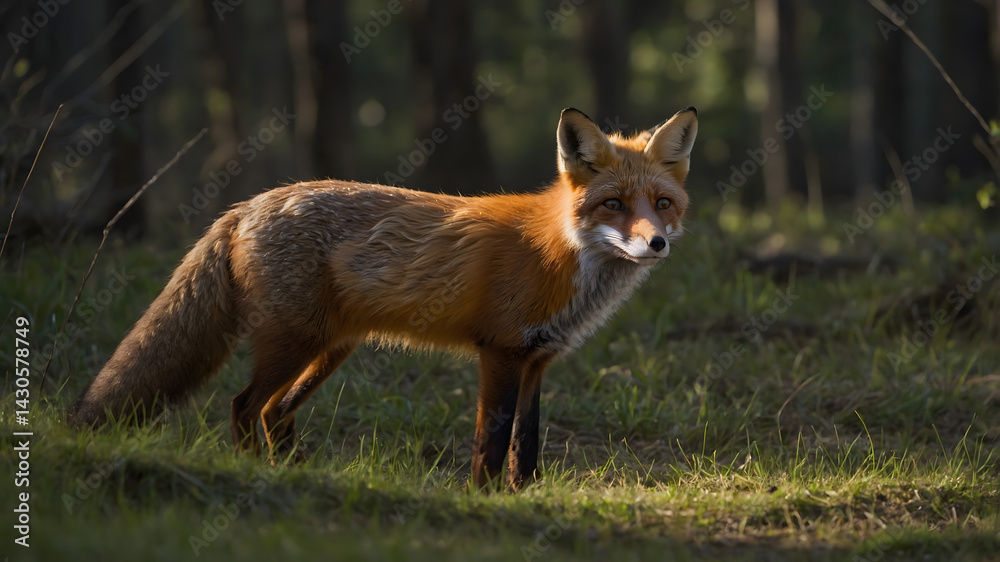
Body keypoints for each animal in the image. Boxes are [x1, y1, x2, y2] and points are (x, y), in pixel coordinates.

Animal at [72, 106, 698, 491]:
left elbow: (526, 446)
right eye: (614, 204)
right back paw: (259, 475)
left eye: (662, 204)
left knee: (274, 412)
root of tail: (247, 203)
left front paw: (523, 499)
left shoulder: (539, 360)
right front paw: (484, 500)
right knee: (244, 406)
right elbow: (490, 444)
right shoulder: (499, 352)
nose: (657, 244)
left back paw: (299, 475)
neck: (561, 254)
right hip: (293, 342)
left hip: (328, 348)